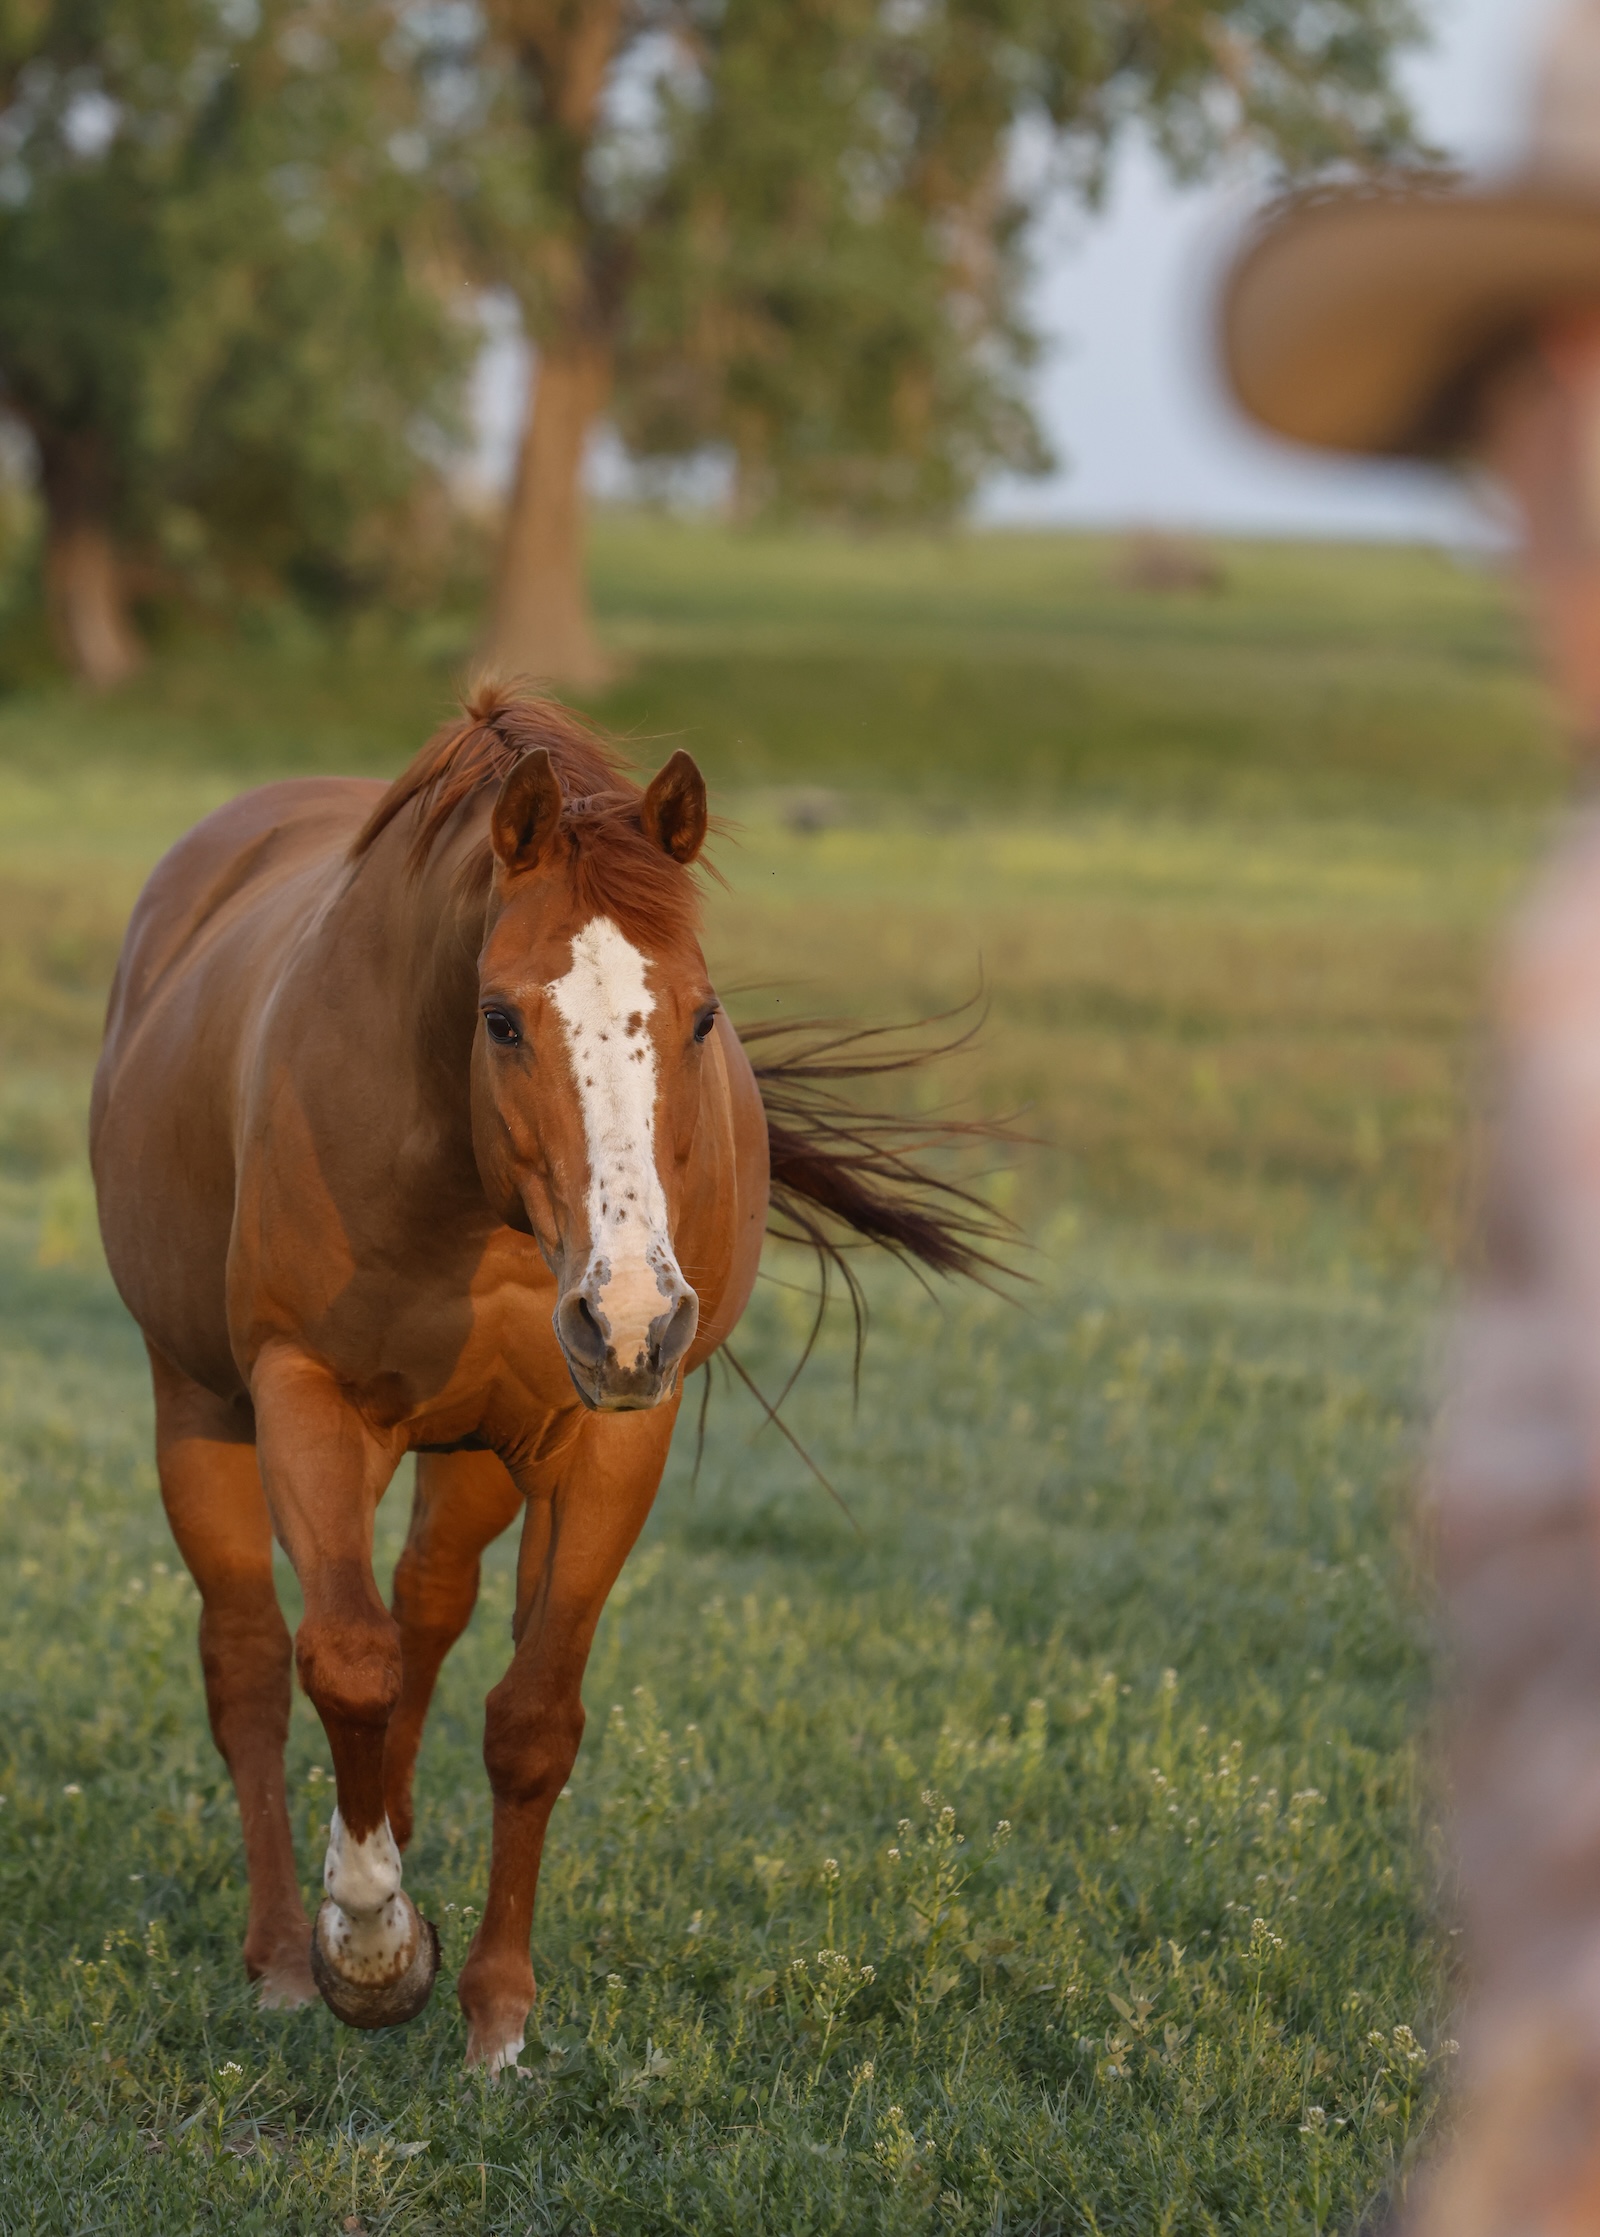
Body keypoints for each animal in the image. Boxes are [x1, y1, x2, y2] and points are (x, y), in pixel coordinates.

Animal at [89, 682, 1001, 2072]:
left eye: (700, 1013)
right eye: (503, 1016)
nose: (630, 1312)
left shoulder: (603, 1434)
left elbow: (530, 1716)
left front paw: (496, 2017)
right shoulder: (303, 1393)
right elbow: (340, 1659)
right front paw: (370, 1951)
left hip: (473, 1450)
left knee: (426, 1603)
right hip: (198, 1403)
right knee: (247, 1659)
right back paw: (284, 1956)